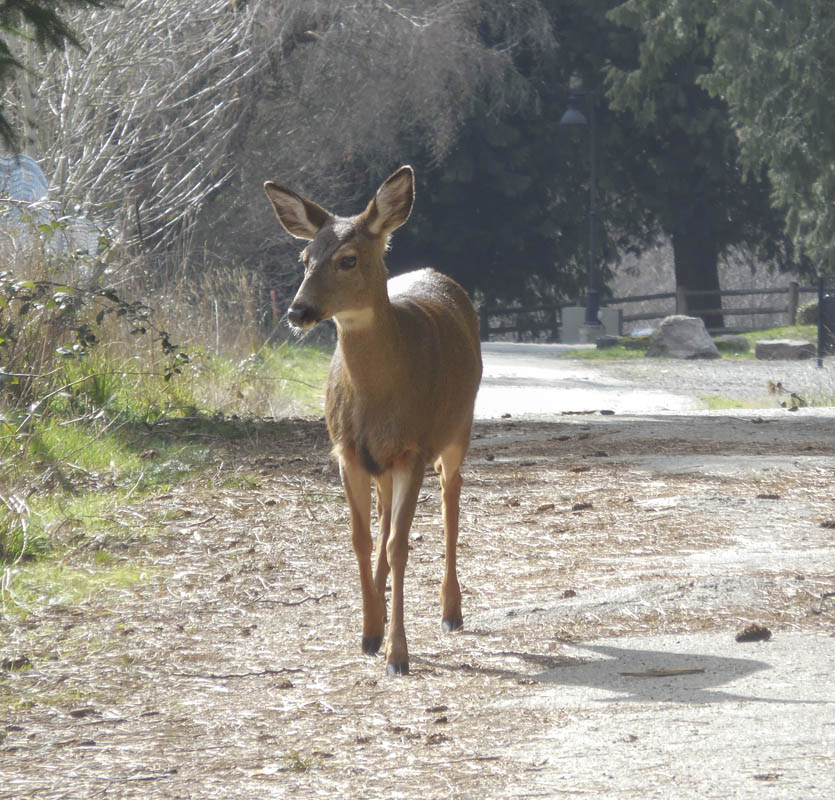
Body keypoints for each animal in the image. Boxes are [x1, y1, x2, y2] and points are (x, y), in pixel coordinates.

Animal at [264, 166, 482, 676]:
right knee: (384, 518)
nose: (297, 311)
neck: (378, 398)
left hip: (457, 429)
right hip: (380, 460)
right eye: (305, 257)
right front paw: (368, 633)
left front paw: (397, 654)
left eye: (348, 259)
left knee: (451, 499)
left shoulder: (412, 450)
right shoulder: (345, 451)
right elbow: (362, 539)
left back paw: (451, 611)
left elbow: (399, 546)